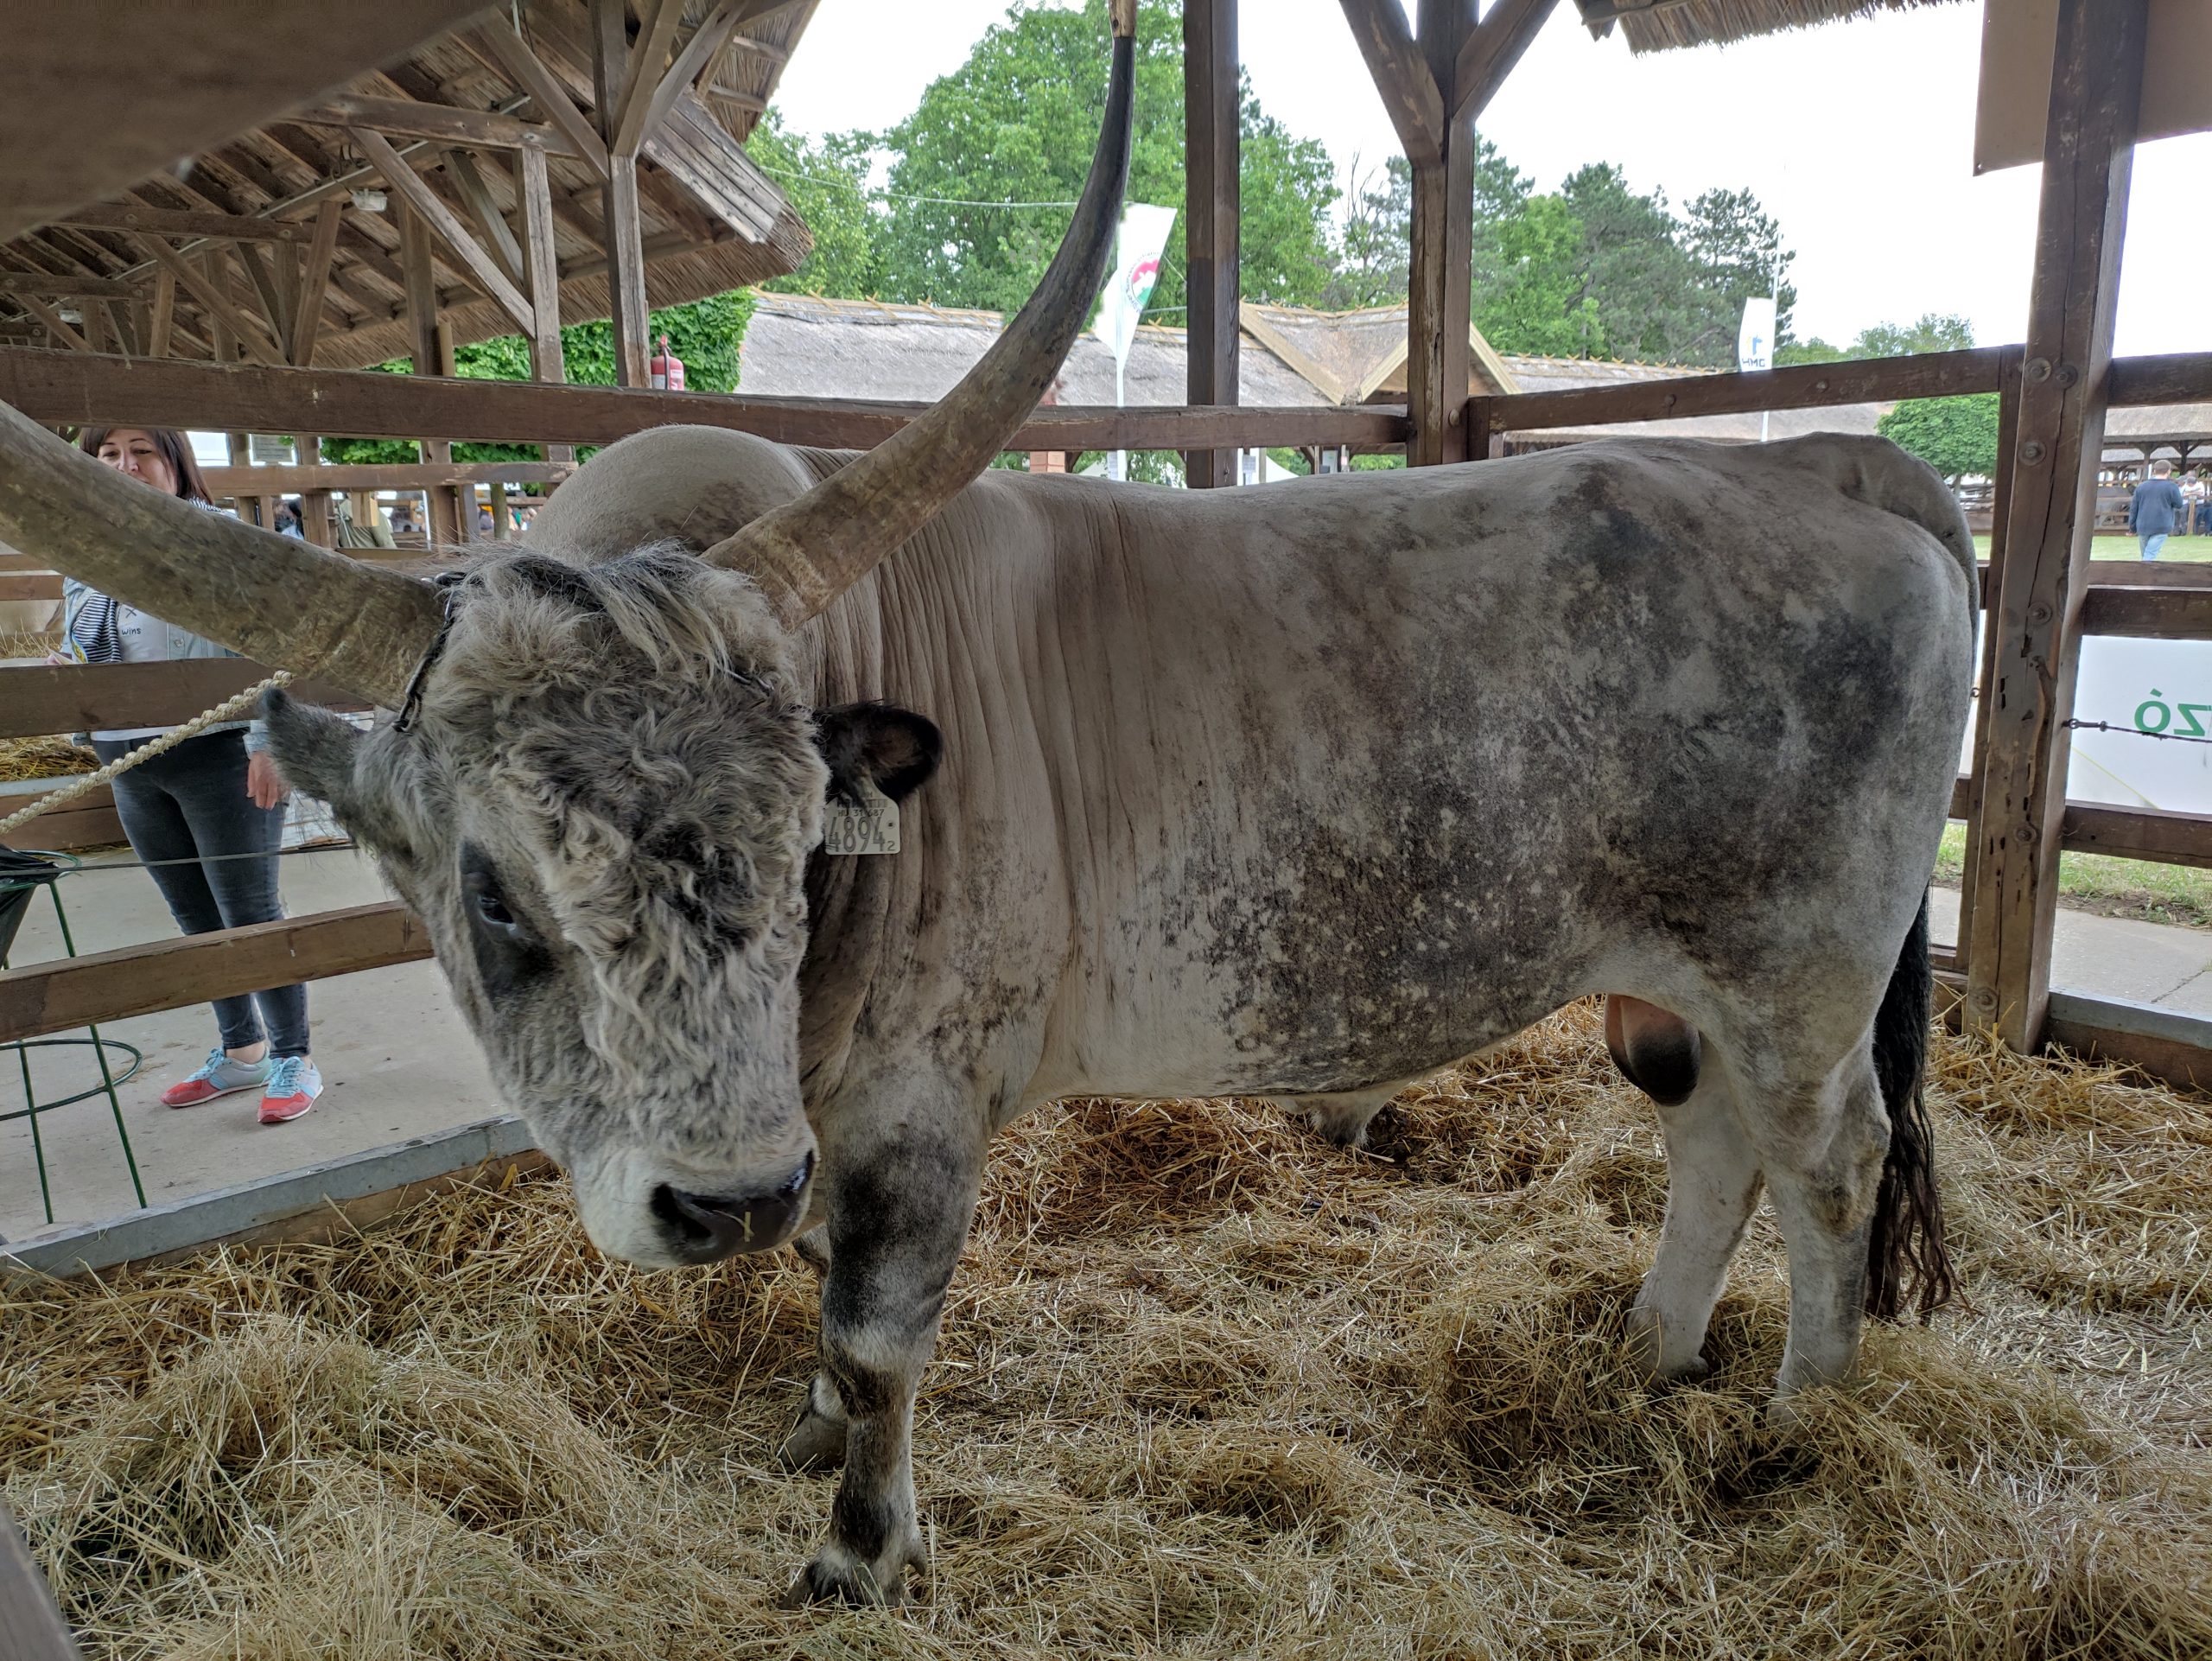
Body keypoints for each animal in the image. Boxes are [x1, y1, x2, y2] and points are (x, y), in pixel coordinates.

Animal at [0, 6, 1973, 1601]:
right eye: (495, 897)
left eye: (806, 845)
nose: (712, 1202)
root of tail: (1834, 462)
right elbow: (818, 1305)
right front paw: (804, 1430)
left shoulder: (913, 1111)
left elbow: (877, 1329)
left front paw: (859, 1543)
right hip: (1689, 975)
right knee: (1714, 1143)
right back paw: (1650, 1351)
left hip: (1799, 975)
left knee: (1828, 1164)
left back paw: (1795, 1421)